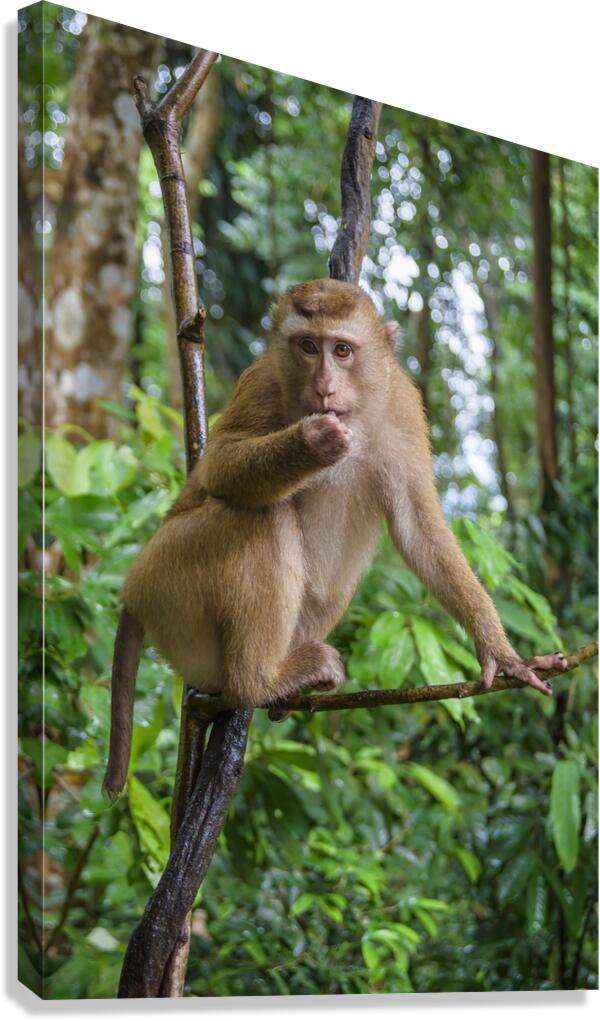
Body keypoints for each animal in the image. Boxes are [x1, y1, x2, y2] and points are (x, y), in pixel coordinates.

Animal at [103, 277, 567, 799]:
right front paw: (310, 443)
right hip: (168, 575)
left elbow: (419, 529)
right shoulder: (263, 382)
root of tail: (133, 592)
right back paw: (258, 683)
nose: (324, 387)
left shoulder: (403, 405)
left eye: (342, 350)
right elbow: (220, 466)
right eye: (308, 347)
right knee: (263, 518)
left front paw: (502, 655)